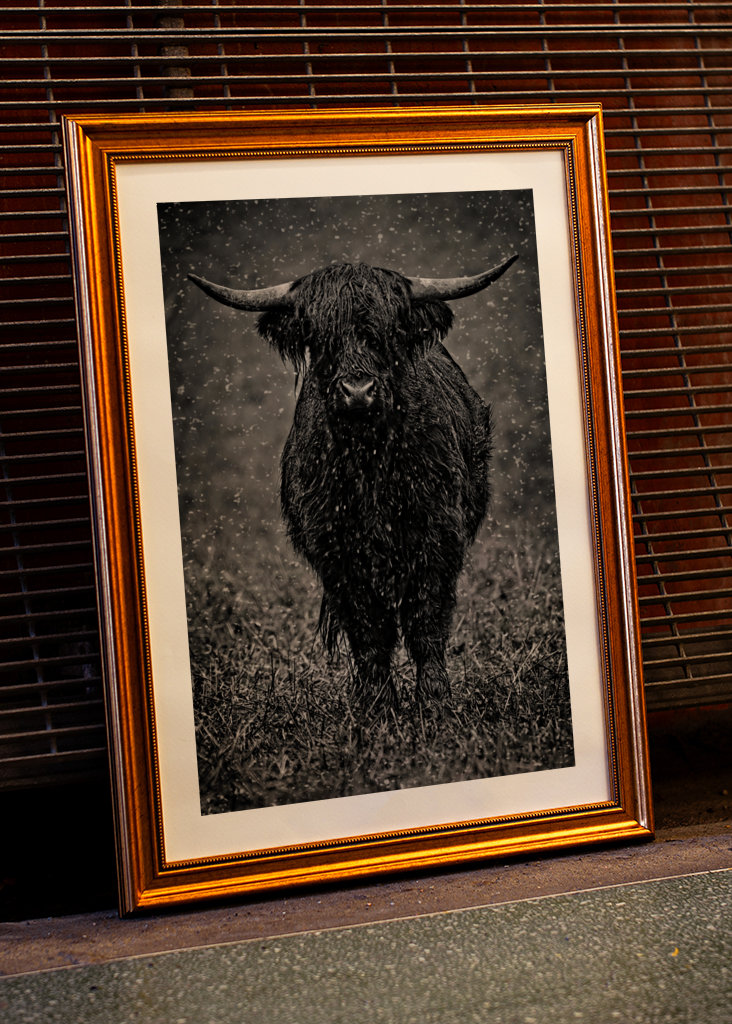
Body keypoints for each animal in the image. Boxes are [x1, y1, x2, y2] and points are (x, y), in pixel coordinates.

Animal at [188, 255, 517, 713]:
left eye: (389, 333)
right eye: (320, 337)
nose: (357, 391)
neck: (369, 462)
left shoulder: (437, 535)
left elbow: (426, 618)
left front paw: (434, 700)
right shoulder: (338, 550)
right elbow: (368, 629)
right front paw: (377, 703)